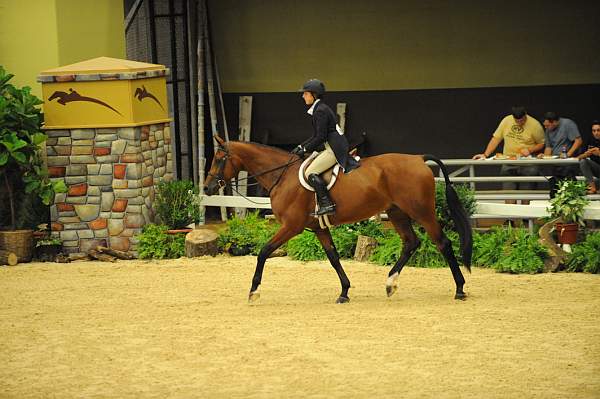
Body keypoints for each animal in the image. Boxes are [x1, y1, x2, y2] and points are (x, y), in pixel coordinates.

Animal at [204, 136, 472, 304]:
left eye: (218, 159)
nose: (206, 188)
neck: (283, 175)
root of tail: (417, 158)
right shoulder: (317, 228)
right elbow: (333, 258)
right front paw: (344, 291)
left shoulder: (291, 226)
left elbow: (263, 252)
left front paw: (254, 291)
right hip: (397, 213)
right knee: (411, 243)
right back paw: (390, 283)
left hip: (421, 212)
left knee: (443, 243)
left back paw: (460, 289)